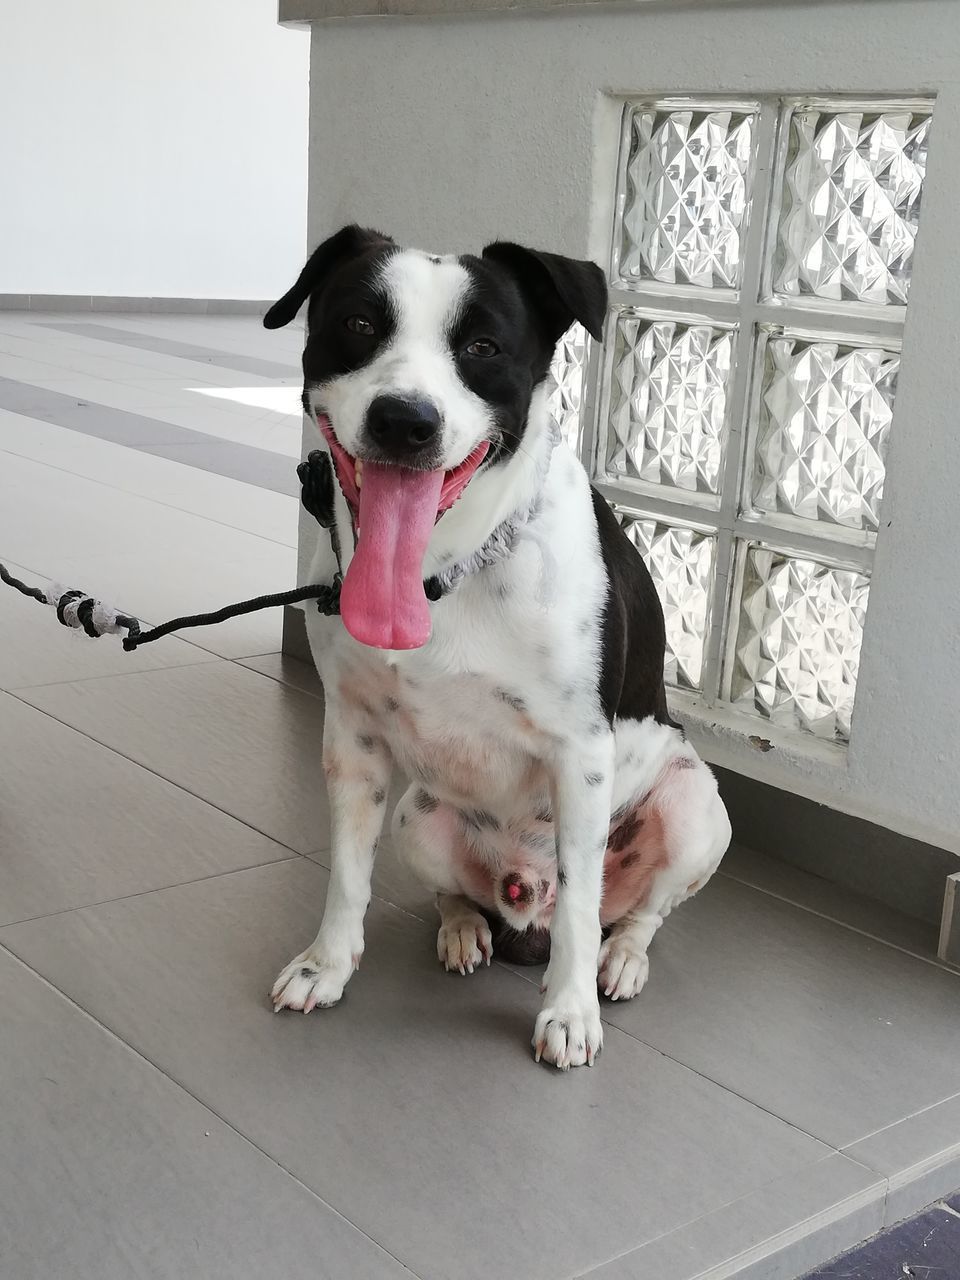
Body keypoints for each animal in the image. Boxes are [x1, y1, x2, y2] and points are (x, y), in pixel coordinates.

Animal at [263, 227, 727, 1070]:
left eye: (483, 346)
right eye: (357, 325)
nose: (404, 420)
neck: (439, 573)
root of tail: (521, 907)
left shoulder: (580, 754)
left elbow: (580, 906)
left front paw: (569, 1013)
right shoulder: (352, 740)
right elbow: (347, 874)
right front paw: (326, 966)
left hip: (691, 808)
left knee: (634, 912)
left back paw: (620, 960)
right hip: (418, 813)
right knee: (456, 890)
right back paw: (462, 929)